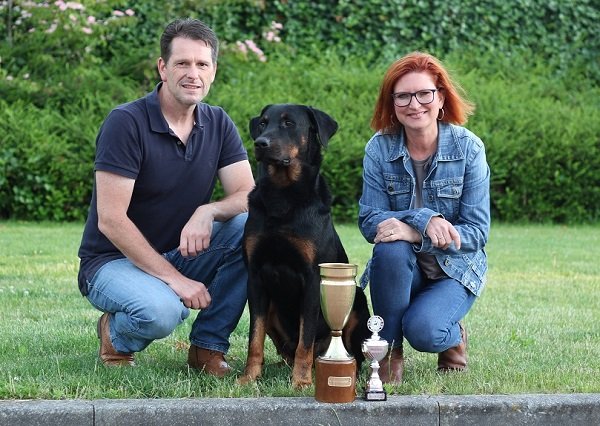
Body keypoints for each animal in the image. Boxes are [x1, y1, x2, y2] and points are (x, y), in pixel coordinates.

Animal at [238, 104, 371, 389]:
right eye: (263, 123)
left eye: (289, 123)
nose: (260, 143)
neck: (282, 196)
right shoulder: (255, 276)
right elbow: (255, 337)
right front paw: (249, 377)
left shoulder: (313, 278)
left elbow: (305, 338)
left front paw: (300, 381)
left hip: (357, 302)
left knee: (347, 352)